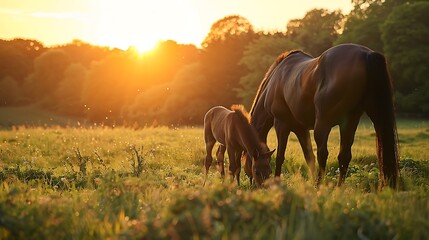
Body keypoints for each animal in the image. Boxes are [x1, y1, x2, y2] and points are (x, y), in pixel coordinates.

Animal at [249, 44, 400, 188]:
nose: (257, 185)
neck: (274, 81)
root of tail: (366, 54)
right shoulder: (301, 129)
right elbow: (309, 156)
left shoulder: (281, 124)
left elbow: (280, 156)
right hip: (354, 121)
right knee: (344, 156)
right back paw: (338, 188)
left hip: (323, 124)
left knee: (323, 154)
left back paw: (319, 186)